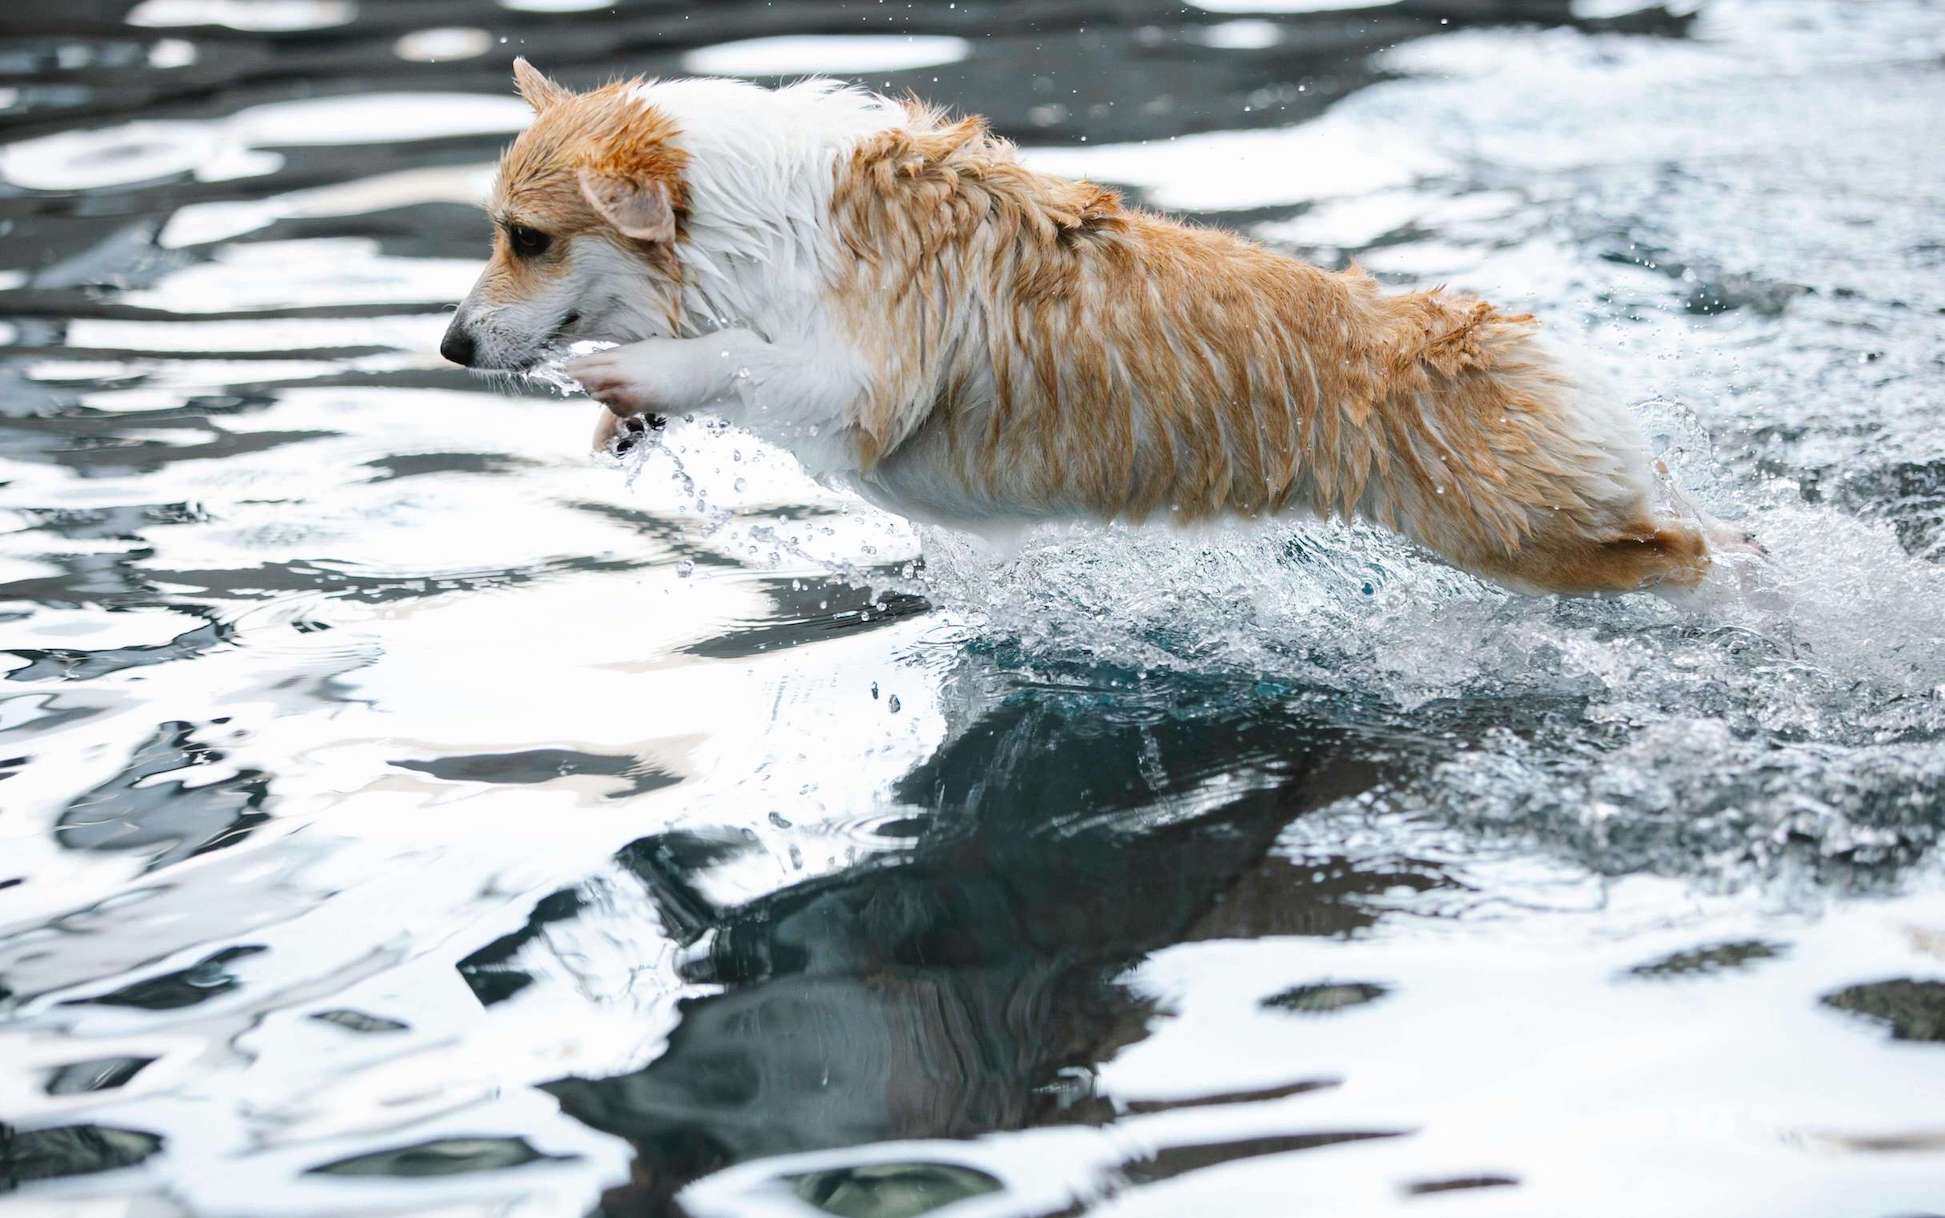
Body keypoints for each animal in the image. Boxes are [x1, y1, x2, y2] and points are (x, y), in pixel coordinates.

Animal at [441, 61, 1734, 591]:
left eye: (527, 238)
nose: (449, 347)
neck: (744, 215)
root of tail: (1497, 329)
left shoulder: (858, 384)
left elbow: (735, 361)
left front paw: (637, 373)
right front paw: (623, 418)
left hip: (1525, 536)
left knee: (1692, 555)